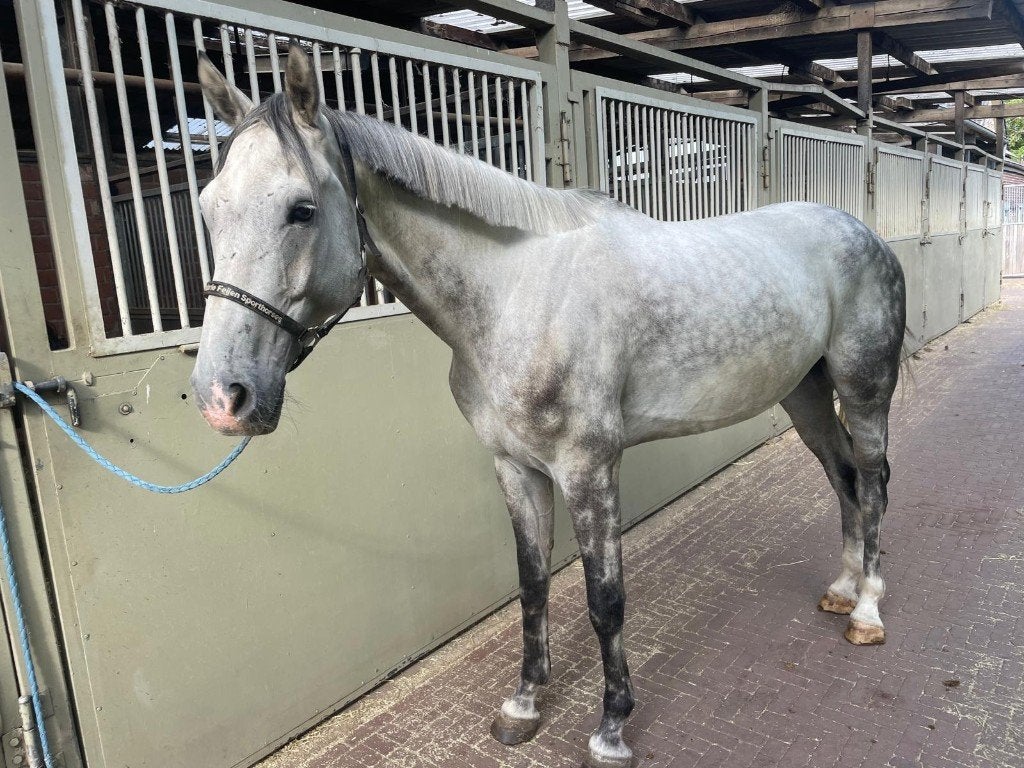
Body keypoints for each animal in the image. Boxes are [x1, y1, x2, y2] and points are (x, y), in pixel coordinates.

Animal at [191, 45, 906, 768]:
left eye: (301, 210)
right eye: (207, 207)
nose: (224, 397)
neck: (516, 296)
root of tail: (864, 233)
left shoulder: (589, 469)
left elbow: (604, 598)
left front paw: (611, 729)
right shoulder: (515, 466)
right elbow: (532, 584)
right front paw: (524, 704)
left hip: (864, 391)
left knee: (873, 482)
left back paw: (867, 614)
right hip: (805, 396)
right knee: (843, 477)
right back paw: (842, 591)